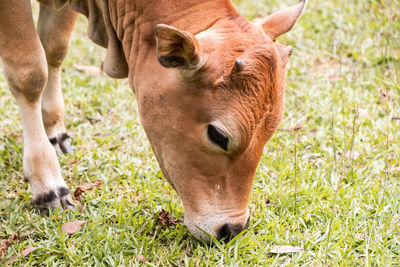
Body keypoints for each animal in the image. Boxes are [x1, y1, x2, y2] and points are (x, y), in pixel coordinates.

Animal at [0, 0, 306, 243]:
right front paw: (47, 182)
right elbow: (30, 74)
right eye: (218, 136)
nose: (231, 230)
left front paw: (54, 130)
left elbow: (54, 50)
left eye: (269, 134)